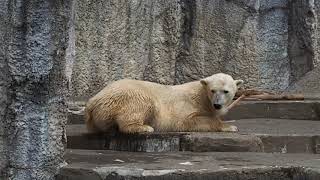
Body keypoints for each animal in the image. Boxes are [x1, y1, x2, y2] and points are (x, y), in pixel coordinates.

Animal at [84, 73, 242, 134]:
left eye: (226, 91)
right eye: (213, 90)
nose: (217, 105)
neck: (203, 98)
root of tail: (93, 100)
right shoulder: (186, 106)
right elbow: (188, 120)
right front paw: (229, 126)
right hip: (127, 96)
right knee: (144, 104)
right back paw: (144, 127)